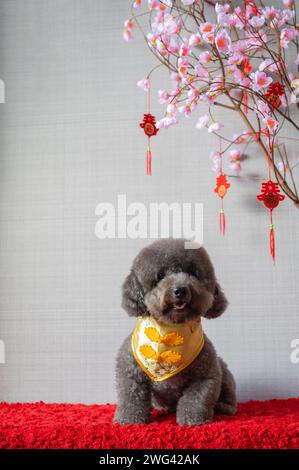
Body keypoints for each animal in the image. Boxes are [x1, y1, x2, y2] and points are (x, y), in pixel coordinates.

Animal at [114, 239, 237, 426]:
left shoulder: (205, 376)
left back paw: (223, 407)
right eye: (160, 276)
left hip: (223, 369)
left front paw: (193, 419)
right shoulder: (130, 373)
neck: (170, 332)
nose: (180, 290)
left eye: (192, 272)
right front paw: (130, 419)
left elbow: (196, 400)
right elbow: (131, 397)